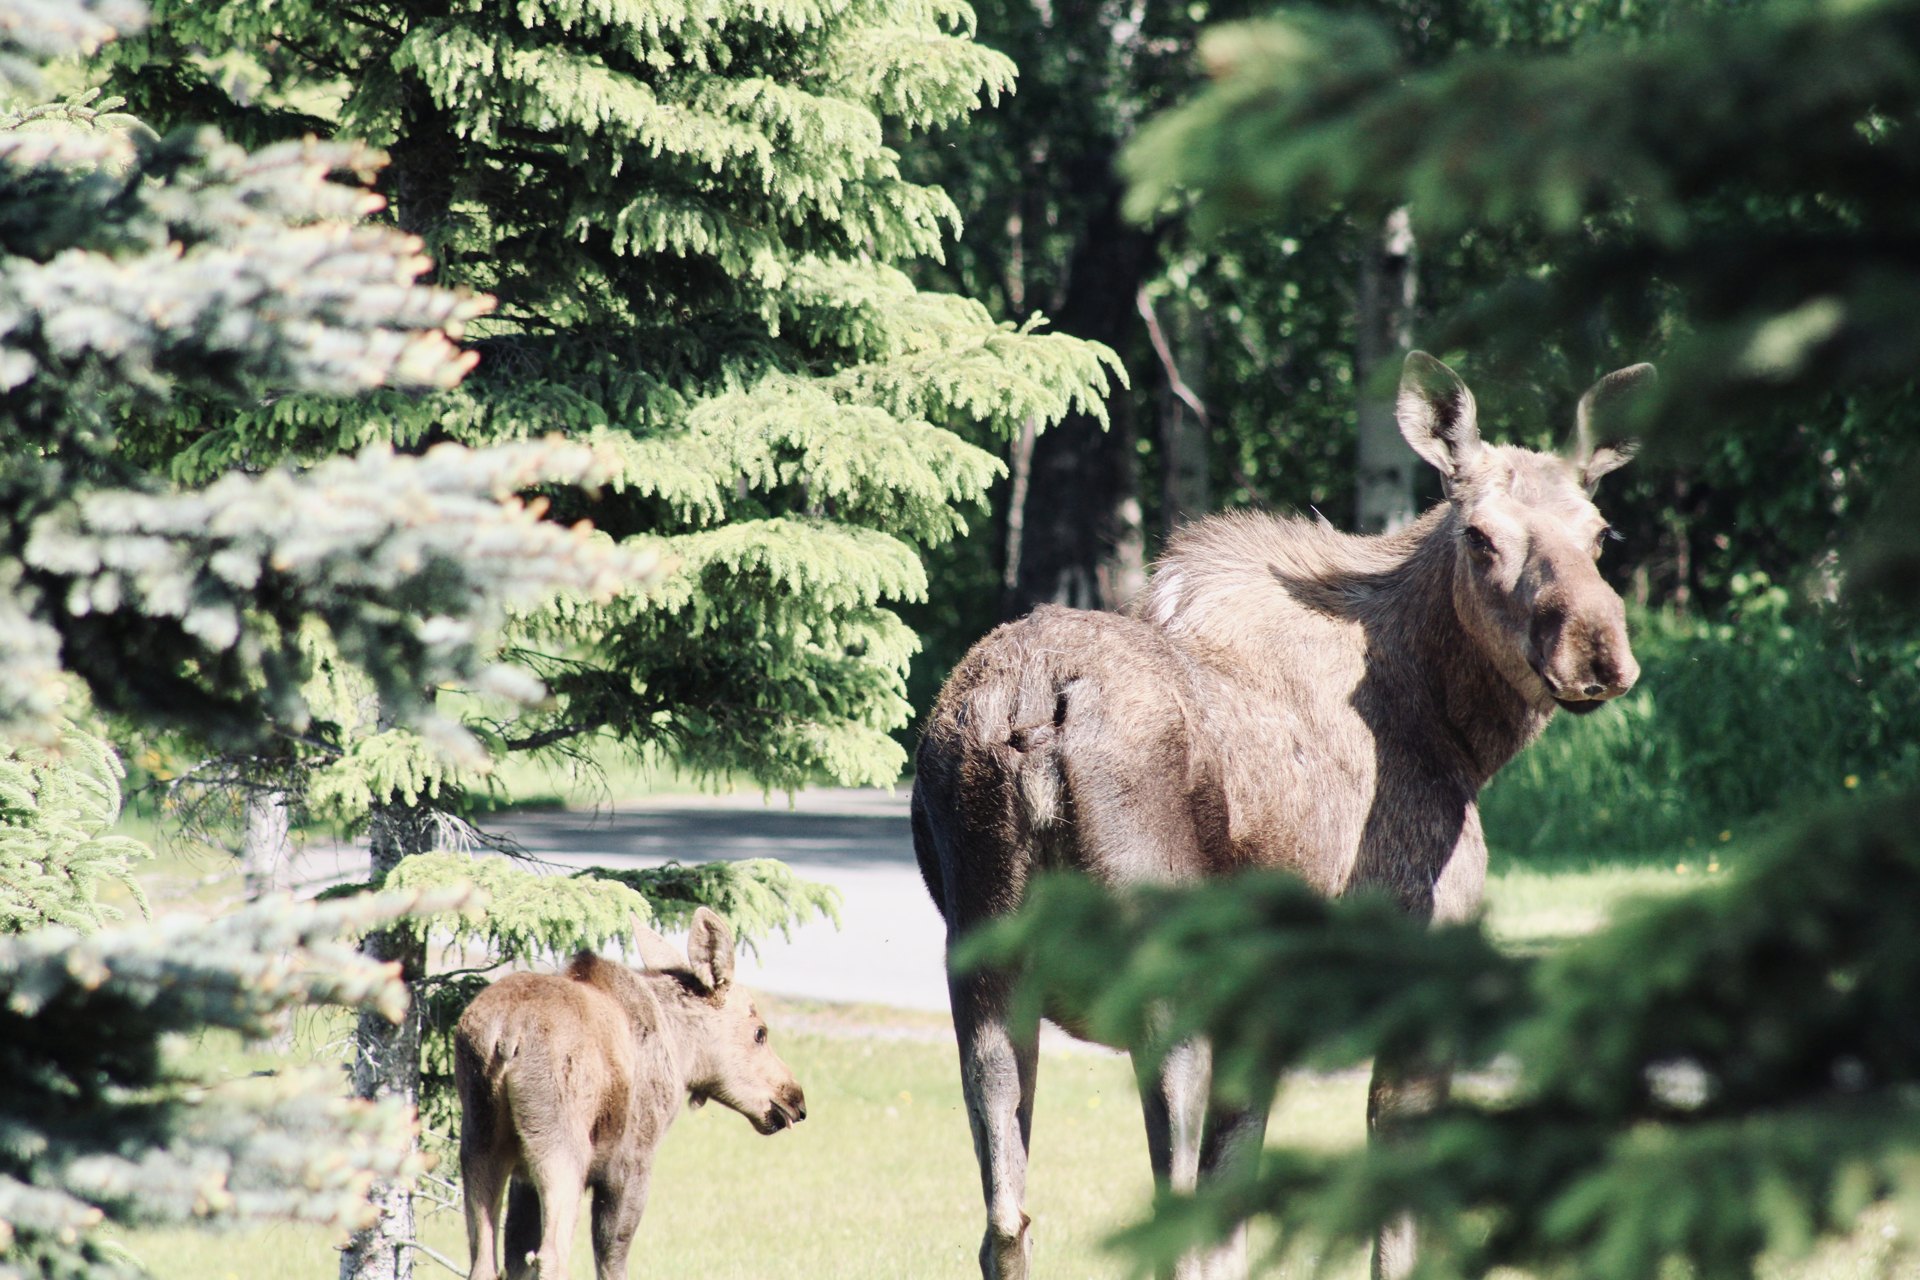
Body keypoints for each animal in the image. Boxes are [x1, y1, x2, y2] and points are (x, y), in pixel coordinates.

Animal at [454, 906, 806, 1280]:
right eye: (760, 1033)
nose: (796, 1099)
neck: (681, 1050)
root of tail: (506, 1035)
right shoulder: (632, 1159)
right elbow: (612, 1259)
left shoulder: (522, 1178)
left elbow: (517, 1256)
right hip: (560, 1144)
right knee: (551, 1254)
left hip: (479, 1137)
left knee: (483, 1260)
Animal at [912, 351, 1654, 1280]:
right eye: (1480, 536)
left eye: (1600, 533)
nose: (1597, 652)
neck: (1458, 734)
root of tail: (1035, 707)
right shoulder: (1414, 995)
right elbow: (1389, 1232)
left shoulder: (1259, 1031)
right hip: (1162, 981)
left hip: (982, 968)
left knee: (1006, 1223)